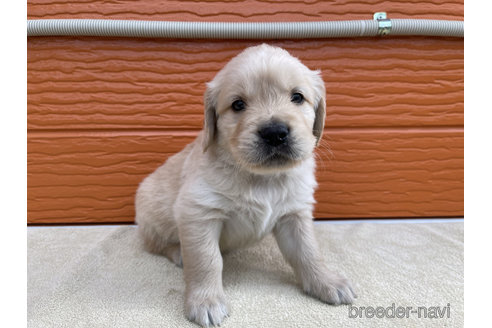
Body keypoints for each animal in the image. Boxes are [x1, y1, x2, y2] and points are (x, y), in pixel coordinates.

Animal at [136, 44, 356, 328]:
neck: (261, 178)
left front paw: (326, 281)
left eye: (297, 97)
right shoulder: (198, 212)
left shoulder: (294, 213)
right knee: (154, 243)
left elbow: (308, 251)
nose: (275, 133)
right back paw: (179, 252)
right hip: (152, 213)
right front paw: (206, 302)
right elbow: (207, 260)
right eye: (238, 104)